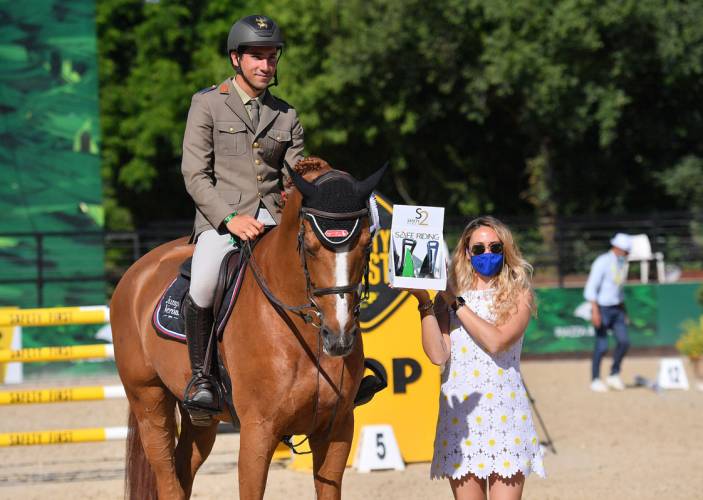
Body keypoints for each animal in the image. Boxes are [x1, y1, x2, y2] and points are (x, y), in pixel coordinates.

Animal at [111, 157, 384, 500]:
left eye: (366, 245)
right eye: (310, 247)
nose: (339, 339)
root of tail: (135, 272)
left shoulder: (337, 428)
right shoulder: (258, 430)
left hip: (201, 419)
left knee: (183, 467)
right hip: (148, 400)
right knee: (167, 475)